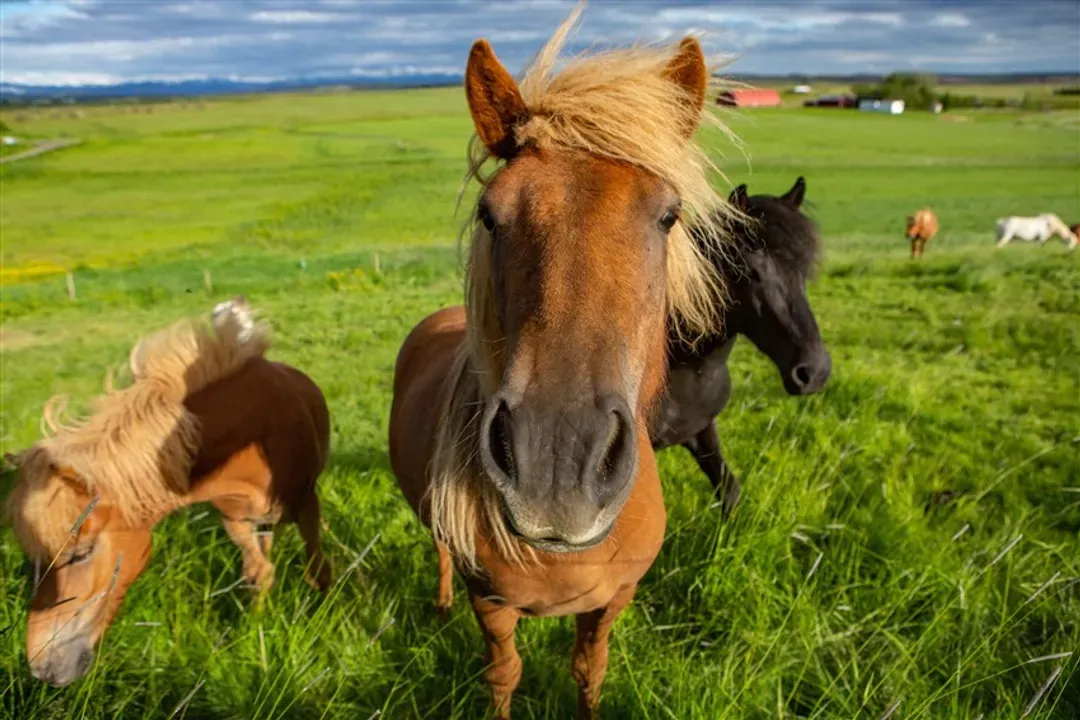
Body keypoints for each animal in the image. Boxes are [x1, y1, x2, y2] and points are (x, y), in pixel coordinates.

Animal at [4, 298, 332, 688]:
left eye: (81, 553)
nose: (43, 668)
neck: (253, 435)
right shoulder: (234, 520)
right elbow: (258, 573)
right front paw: (257, 625)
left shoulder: (307, 504)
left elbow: (318, 570)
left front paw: (327, 613)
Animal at [387, 6, 737, 718]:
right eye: (491, 214)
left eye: (669, 215)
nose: (557, 463)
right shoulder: (491, 603)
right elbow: (504, 674)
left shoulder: (612, 601)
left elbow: (588, 670)